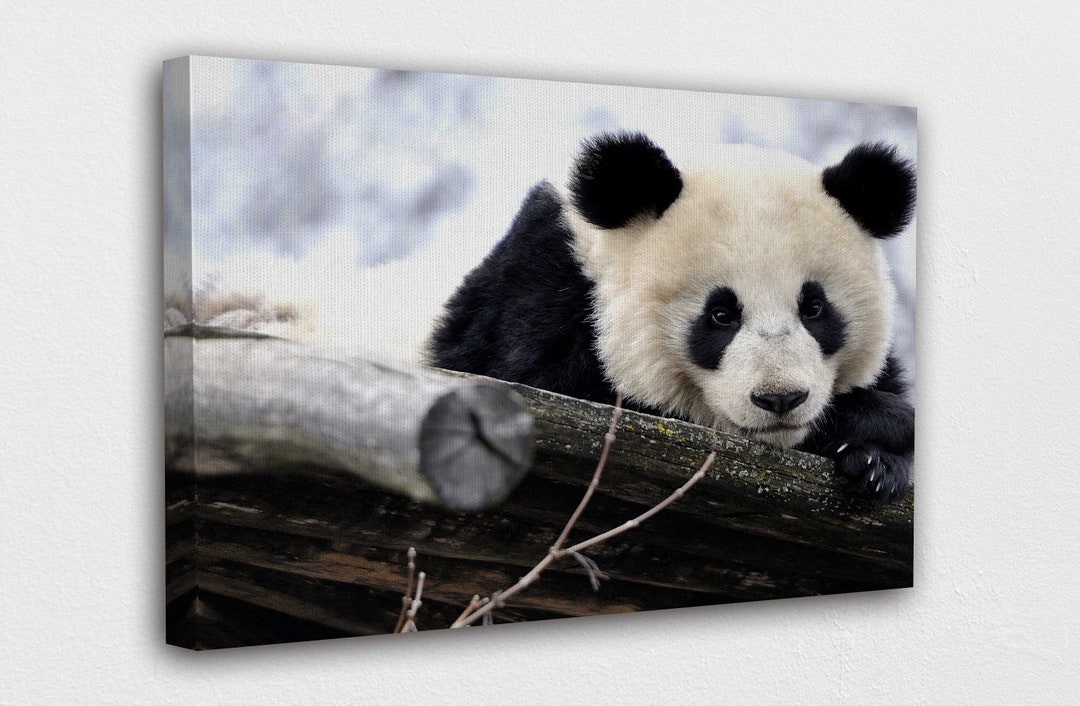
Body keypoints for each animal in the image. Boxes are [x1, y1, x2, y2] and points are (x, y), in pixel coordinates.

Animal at [427, 132, 915, 504]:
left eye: (814, 308)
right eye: (720, 315)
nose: (780, 399)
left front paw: (877, 464)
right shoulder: (540, 295)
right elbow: (547, 383)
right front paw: (868, 422)